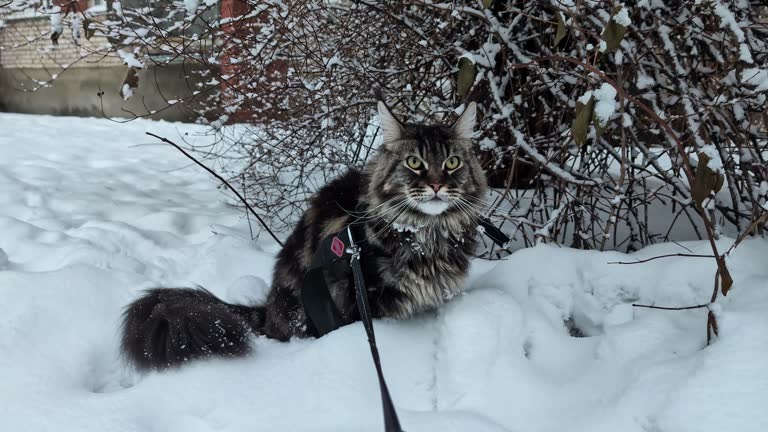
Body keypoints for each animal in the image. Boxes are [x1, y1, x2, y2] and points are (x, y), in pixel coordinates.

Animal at [120, 100, 486, 368]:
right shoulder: (363, 300)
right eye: (414, 163)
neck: (426, 235)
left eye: (452, 163)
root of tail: (268, 310)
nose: (437, 185)